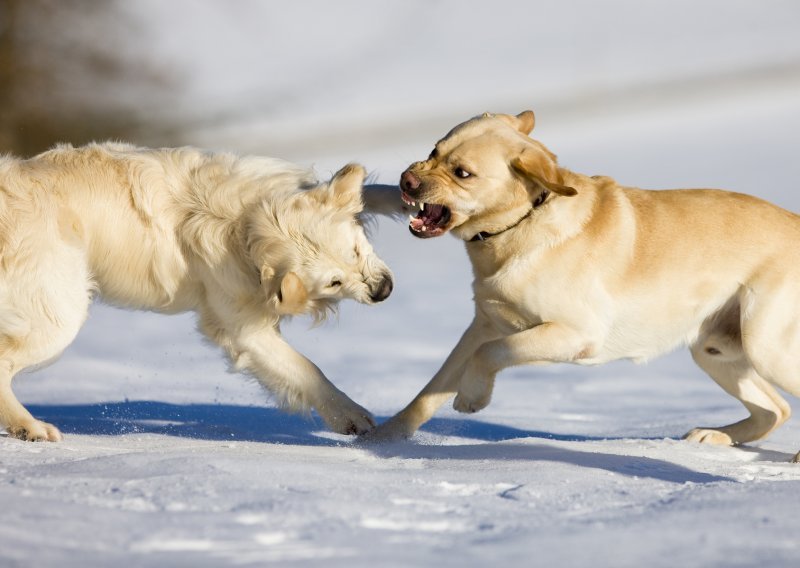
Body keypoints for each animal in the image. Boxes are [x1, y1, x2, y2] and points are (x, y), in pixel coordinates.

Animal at [0, 141, 396, 440]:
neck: (245, 223)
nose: (384, 291)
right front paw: (353, 416)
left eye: (355, 250)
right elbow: (307, 370)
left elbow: (370, 193)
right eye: (334, 282)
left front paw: (403, 193)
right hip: (59, 313)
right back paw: (29, 427)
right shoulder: (244, 330)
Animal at [372, 111, 800, 462]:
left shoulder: (574, 334)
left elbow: (489, 356)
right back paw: (714, 436)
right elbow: (432, 388)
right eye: (434, 150)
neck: (522, 223)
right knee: (776, 410)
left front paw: (472, 398)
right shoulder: (483, 325)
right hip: (714, 350)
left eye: (463, 173)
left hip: (765, 345)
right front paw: (382, 440)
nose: (406, 180)